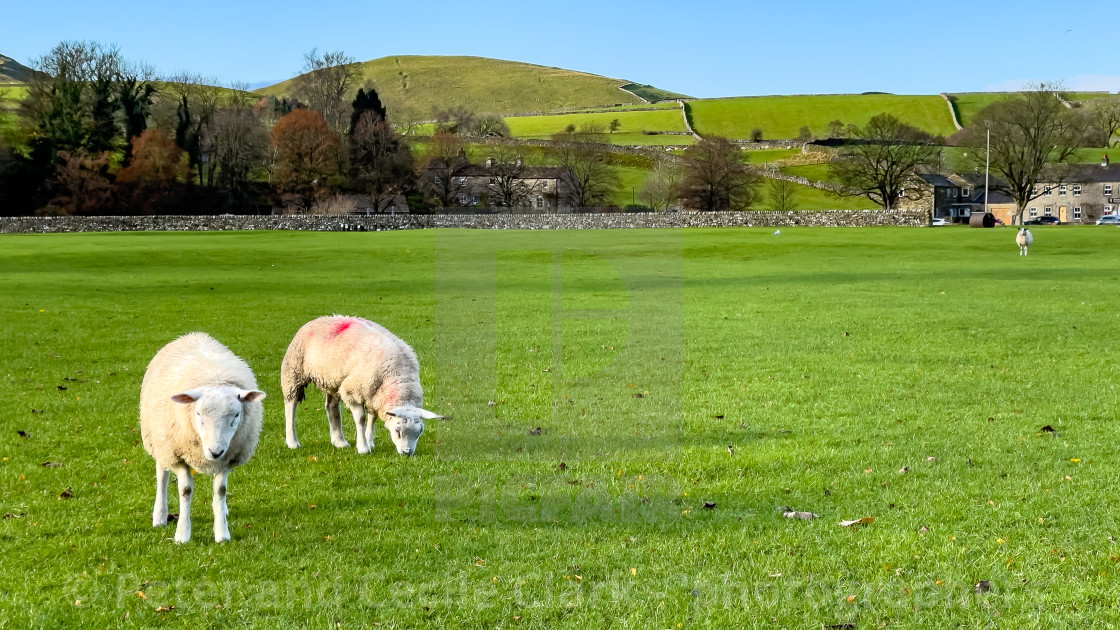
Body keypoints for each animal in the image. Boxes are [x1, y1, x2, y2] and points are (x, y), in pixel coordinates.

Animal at [136, 331, 263, 542]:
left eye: (236, 415)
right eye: (198, 414)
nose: (215, 452)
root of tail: (193, 335)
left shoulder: (229, 457)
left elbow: (221, 490)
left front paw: (222, 533)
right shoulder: (177, 454)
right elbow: (185, 490)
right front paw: (182, 534)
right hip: (159, 441)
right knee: (162, 475)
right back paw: (160, 516)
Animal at [277, 313, 439, 455]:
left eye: (419, 432)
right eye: (397, 431)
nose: (407, 453)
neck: (398, 377)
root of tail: (319, 319)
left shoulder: (374, 395)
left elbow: (372, 417)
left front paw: (369, 440)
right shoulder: (352, 391)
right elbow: (361, 418)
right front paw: (363, 447)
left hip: (334, 380)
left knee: (331, 407)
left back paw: (339, 441)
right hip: (293, 371)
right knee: (290, 405)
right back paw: (292, 441)